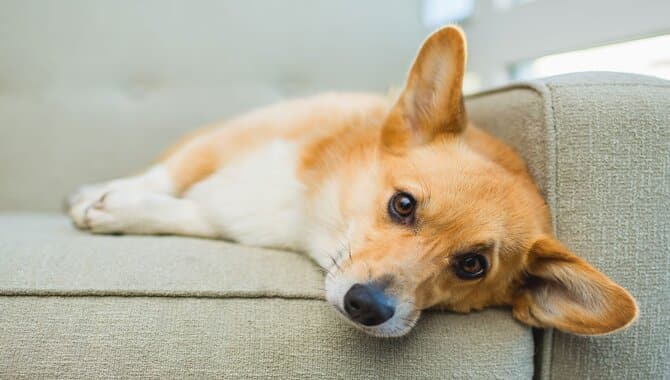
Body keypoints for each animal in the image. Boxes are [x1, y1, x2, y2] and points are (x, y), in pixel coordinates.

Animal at [68, 26, 640, 338]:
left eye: (472, 265)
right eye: (403, 204)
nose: (366, 307)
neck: (307, 206)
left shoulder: (231, 218)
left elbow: (187, 212)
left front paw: (122, 212)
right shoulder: (227, 138)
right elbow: (166, 176)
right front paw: (107, 199)